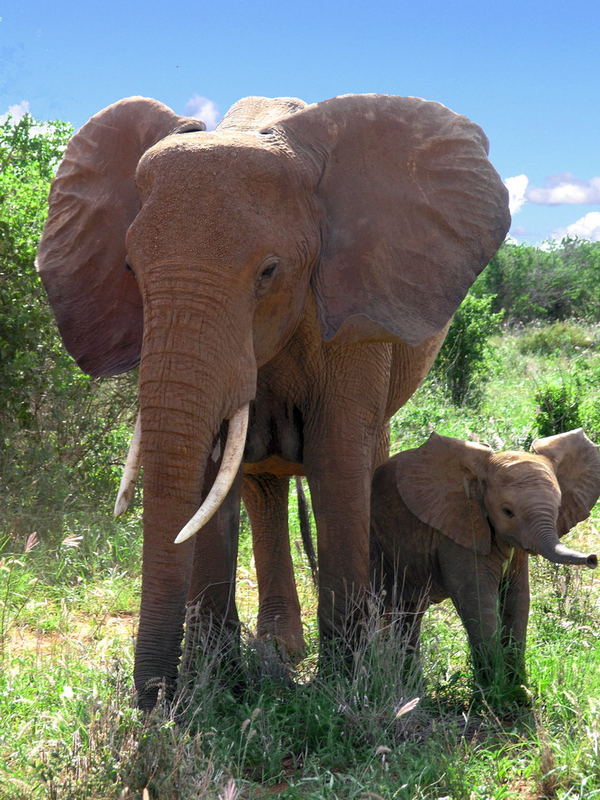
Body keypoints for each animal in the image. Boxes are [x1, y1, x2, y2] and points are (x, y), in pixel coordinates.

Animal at [35, 92, 508, 708]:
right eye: (130, 268)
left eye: (269, 271)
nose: (156, 698)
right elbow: (213, 472)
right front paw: (220, 687)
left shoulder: (352, 317)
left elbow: (338, 462)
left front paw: (344, 687)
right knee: (262, 486)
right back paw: (281, 650)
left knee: (368, 459)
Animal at [370, 432, 600, 700]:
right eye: (507, 512)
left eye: (559, 506)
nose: (593, 558)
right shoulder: (458, 529)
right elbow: (478, 599)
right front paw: (494, 693)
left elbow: (517, 597)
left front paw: (519, 691)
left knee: (409, 614)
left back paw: (412, 688)